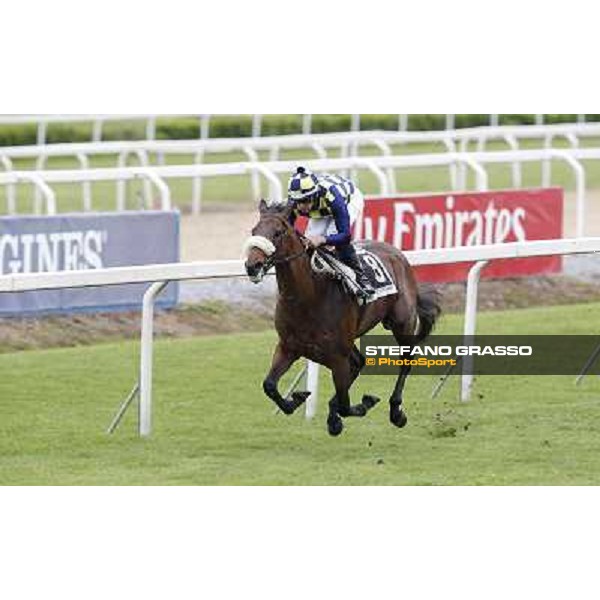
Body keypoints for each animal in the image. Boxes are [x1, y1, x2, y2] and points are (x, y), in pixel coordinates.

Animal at [244, 202, 440, 436]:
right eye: (254, 231)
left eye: (277, 232)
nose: (252, 266)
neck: (308, 296)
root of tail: (396, 252)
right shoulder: (288, 347)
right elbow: (270, 385)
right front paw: (298, 398)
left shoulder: (337, 357)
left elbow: (347, 405)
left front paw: (361, 405)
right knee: (359, 361)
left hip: (402, 323)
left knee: (405, 361)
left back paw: (396, 411)